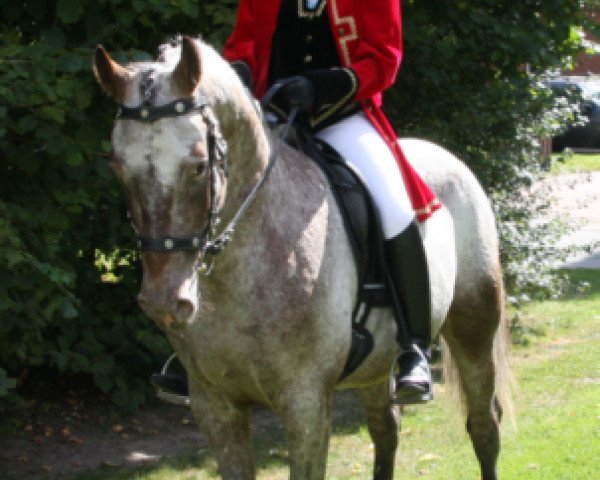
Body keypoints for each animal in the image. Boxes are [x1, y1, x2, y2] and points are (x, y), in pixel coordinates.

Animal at [92, 36, 510, 480]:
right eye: (116, 166)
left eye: (199, 165)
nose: (164, 301)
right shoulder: (215, 406)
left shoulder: (305, 404)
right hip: (376, 366)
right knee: (386, 429)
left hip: (473, 328)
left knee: (484, 425)